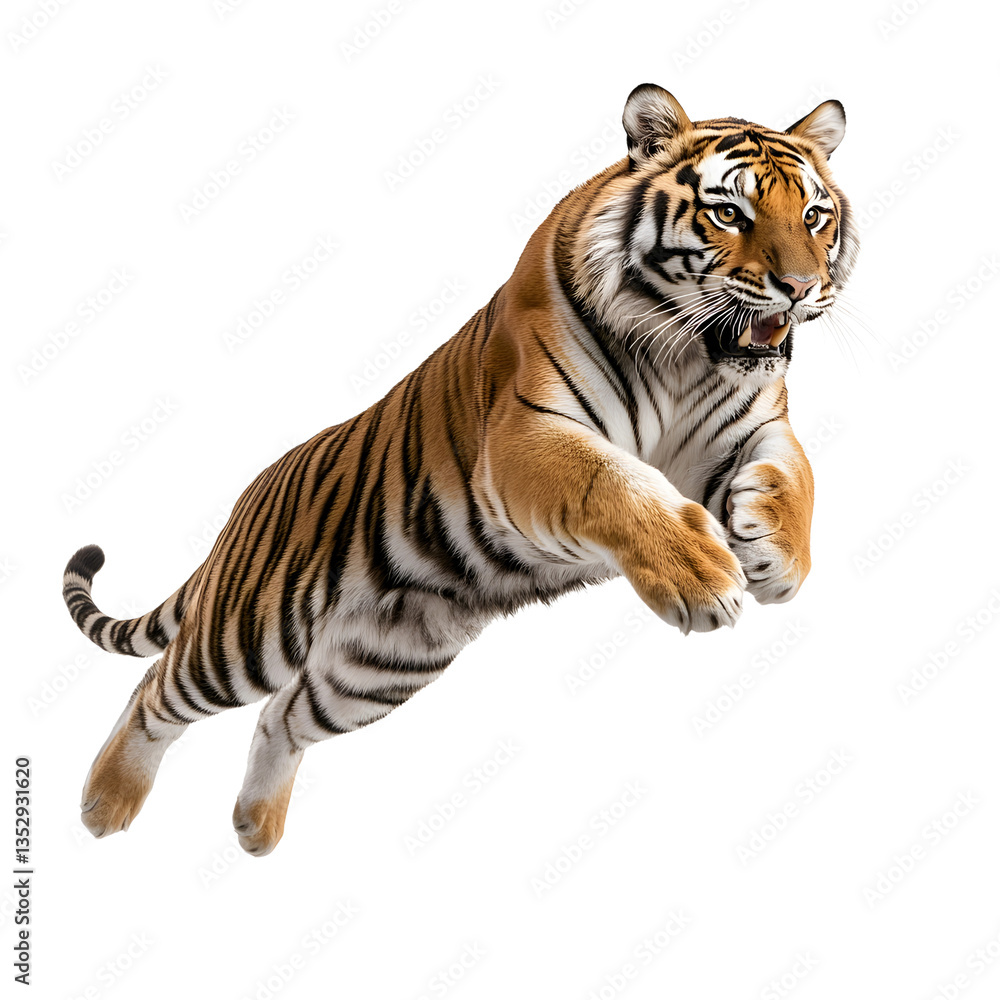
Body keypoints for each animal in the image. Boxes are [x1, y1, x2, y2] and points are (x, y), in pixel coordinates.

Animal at [63, 84, 858, 856]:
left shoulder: (750, 429)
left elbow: (799, 477)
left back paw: (256, 829)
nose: (799, 287)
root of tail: (245, 499)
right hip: (251, 629)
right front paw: (701, 574)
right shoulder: (525, 434)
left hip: (383, 662)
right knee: (158, 689)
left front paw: (777, 558)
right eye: (729, 212)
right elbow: (612, 482)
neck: (686, 358)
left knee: (283, 716)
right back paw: (105, 805)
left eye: (815, 216)